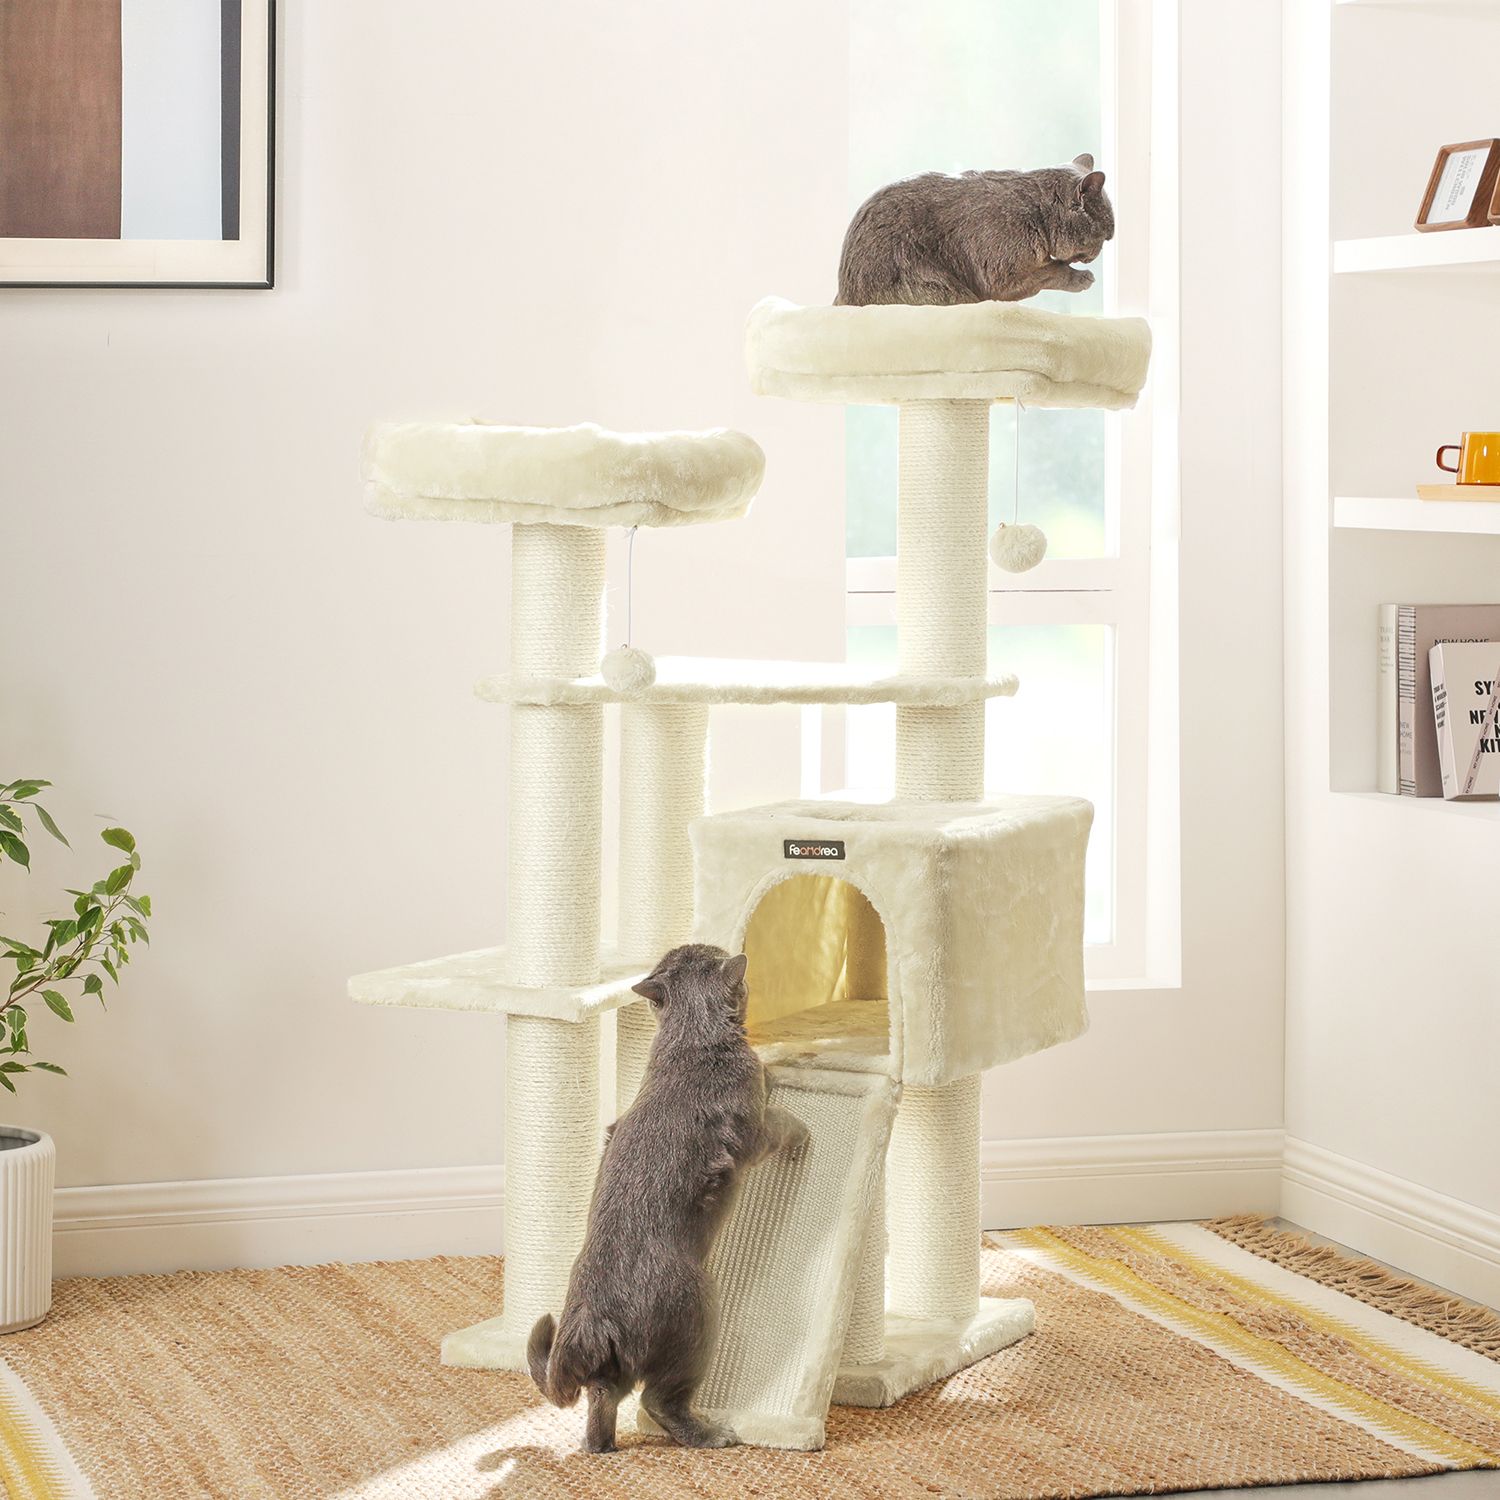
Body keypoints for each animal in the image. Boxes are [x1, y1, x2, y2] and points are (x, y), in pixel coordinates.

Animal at [526, 943, 809, 1454]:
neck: (688, 1043)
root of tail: (589, 1316)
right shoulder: (755, 1131)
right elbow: (778, 1117)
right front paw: (798, 1125)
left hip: (612, 1370)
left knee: (603, 1399)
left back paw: (601, 1447)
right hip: (697, 1317)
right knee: (659, 1400)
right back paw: (714, 1435)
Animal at [835, 154, 1114, 307]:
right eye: (1104, 237)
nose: (1096, 256)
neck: (1039, 216)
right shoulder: (1001, 277)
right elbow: (1051, 271)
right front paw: (1081, 278)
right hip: (936, 286)